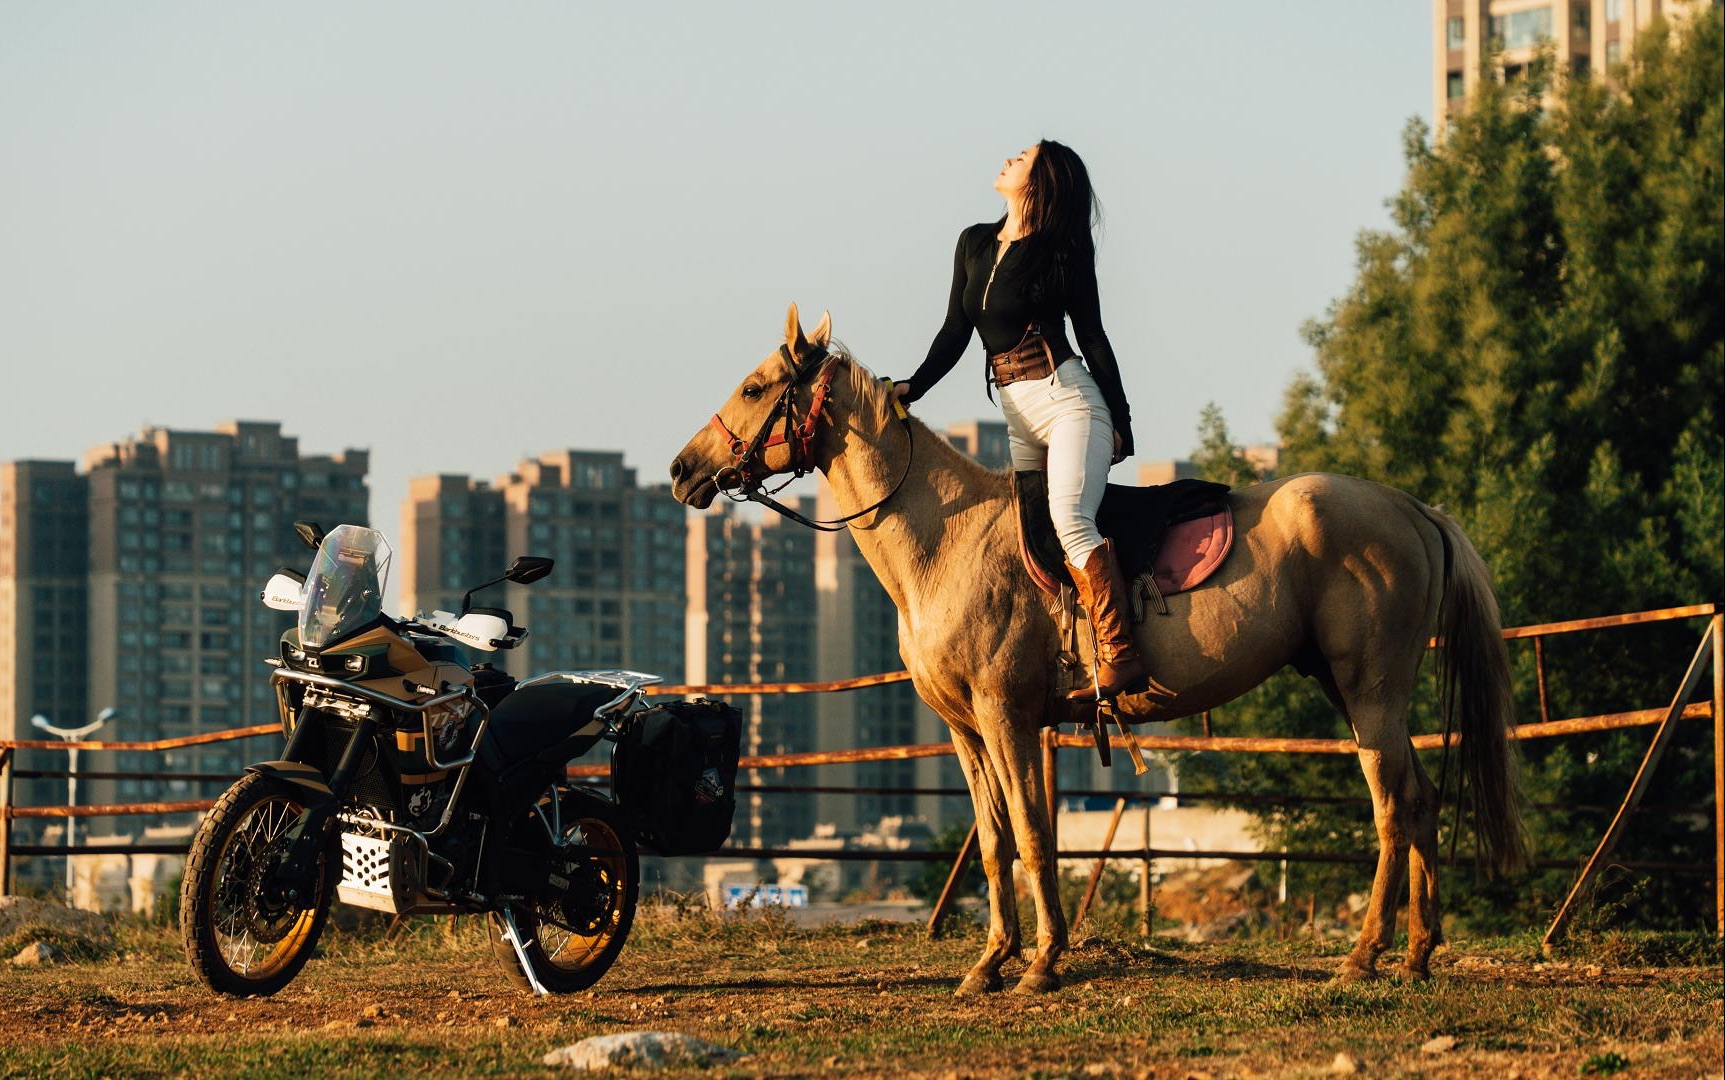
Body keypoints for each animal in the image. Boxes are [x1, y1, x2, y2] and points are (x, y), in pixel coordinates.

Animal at [669, 305, 1525, 995]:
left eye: (754, 387)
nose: (682, 470)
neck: (946, 539)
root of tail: (1412, 509)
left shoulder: (1009, 719)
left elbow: (1032, 833)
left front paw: (1042, 963)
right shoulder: (966, 731)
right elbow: (994, 842)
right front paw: (990, 962)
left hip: (1370, 692)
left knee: (1393, 807)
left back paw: (1364, 955)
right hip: (1353, 692)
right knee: (1419, 800)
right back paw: (1415, 955)